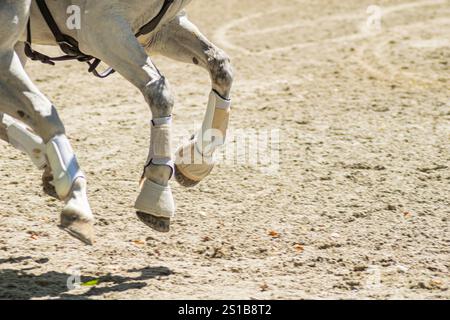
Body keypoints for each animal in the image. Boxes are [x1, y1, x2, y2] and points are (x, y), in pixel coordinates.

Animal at [0, 0, 232, 244]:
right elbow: (159, 92)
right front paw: (156, 191)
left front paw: (196, 158)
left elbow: (220, 65)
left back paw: (49, 168)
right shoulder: (104, 30)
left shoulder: (164, 27)